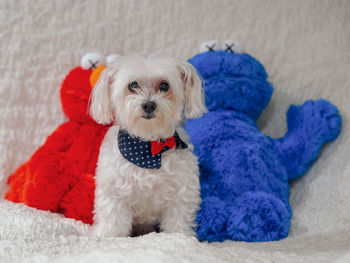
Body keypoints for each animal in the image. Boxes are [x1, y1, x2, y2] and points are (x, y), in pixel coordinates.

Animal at [89, 54, 206, 238]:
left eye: (164, 85)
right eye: (133, 85)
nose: (149, 104)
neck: (147, 149)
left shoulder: (180, 195)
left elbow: (177, 223)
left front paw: (180, 238)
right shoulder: (114, 193)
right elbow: (113, 222)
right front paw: (107, 236)